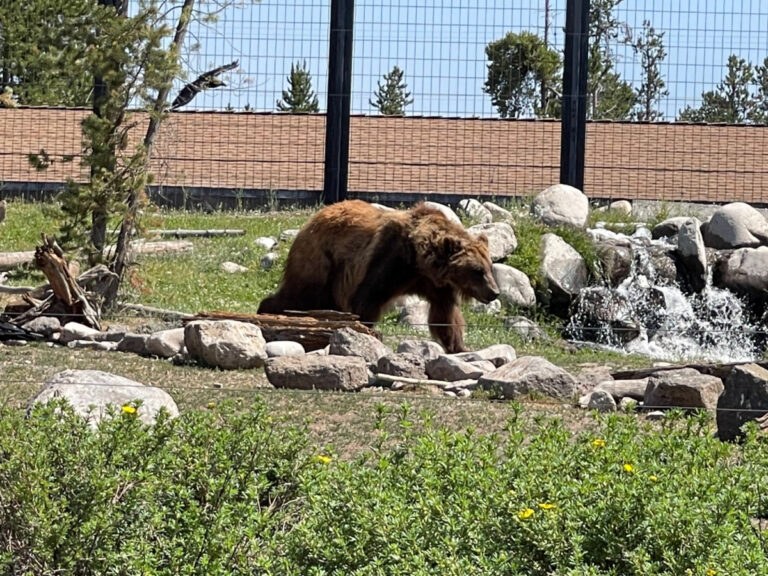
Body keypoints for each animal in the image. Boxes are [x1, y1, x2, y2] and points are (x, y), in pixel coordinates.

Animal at [257, 200, 500, 353]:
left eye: (489, 267)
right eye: (477, 271)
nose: (494, 292)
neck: (420, 263)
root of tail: (312, 219)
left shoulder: (436, 285)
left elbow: (444, 315)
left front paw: (458, 346)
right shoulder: (390, 260)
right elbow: (367, 299)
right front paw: (366, 333)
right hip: (321, 262)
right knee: (301, 293)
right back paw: (268, 311)